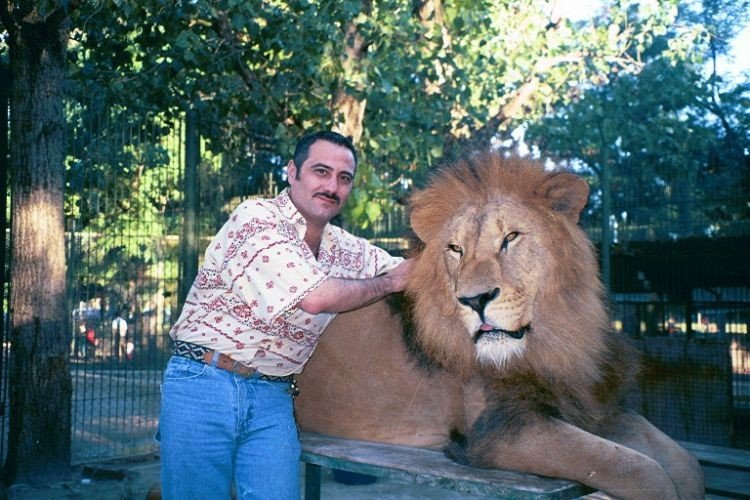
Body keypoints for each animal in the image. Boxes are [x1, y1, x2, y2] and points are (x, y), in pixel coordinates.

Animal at [296, 154, 708, 498]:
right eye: (455, 249)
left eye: (510, 238)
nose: (475, 300)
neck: (555, 337)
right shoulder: (500, 429)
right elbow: (639, 469)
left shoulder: (591, 405)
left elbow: (685, 463)